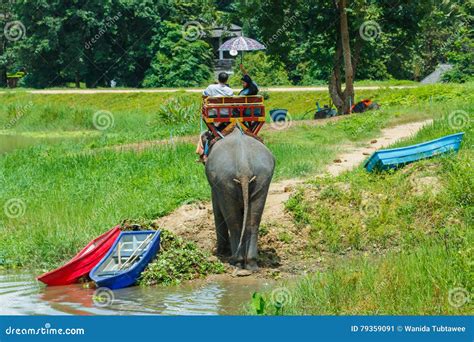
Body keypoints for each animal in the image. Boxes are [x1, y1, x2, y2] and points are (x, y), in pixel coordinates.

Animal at [204, 127, 274, 270]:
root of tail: (244, 166)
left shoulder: (216, 186)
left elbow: (217, 209)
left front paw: (220, 252)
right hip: (263, 178)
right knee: (253, 222)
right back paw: (251, 263)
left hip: (223, 180)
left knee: (234, 223)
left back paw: (236, 261)